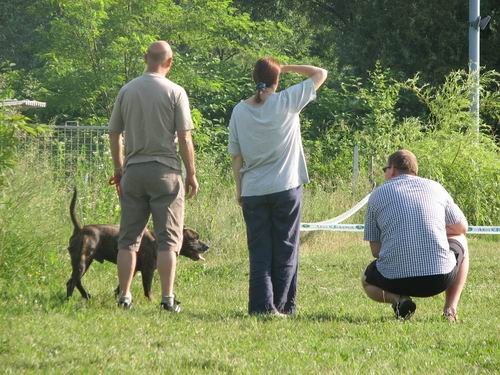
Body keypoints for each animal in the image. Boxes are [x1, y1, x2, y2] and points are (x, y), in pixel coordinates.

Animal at [66, 189, 207, 302]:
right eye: (195, 238)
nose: (207, 246)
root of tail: (80, 229)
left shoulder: (133, 269)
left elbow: (121, 286)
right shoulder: (148, 270)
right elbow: (147, 288)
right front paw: (151, 301)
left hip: (85, 262)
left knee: (73, 281)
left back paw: (81, 296)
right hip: (83, 262)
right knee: (72, 282)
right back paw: (71, 300)